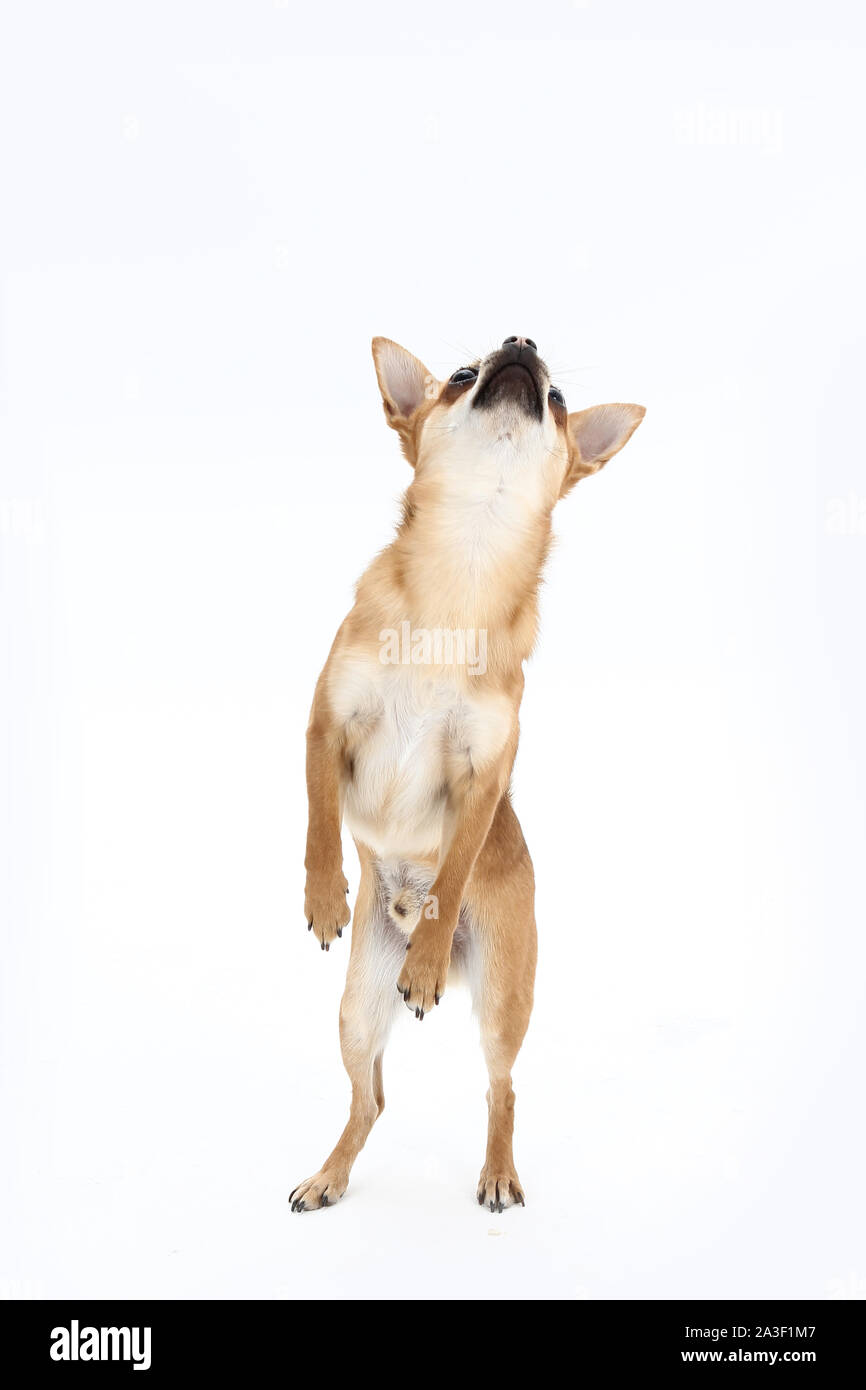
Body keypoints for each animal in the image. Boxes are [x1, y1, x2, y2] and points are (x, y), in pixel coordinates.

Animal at [293, 339, 644, 1217]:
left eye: (558, 401)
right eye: (458, 377)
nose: (521, 345)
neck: (460, 580)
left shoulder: (483, 779)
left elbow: (452, 871)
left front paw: (423, 961)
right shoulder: (324, 726)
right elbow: (319, 814)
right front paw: (324, 894)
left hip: (502, 999)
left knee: (502, 1087)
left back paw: (496, 1170)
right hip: (356, 1008)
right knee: (371, 1097)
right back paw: (329, 1176)